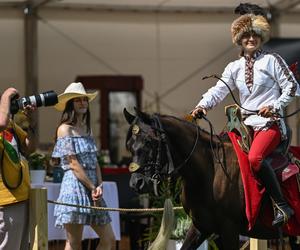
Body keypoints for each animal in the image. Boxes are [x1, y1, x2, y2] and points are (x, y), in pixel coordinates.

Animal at [123, 109, 296, 250]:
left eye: (149, 141)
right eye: (129, 145)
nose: (136, 183)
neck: (209, 171)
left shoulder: (229, 229)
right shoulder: (201, 227)